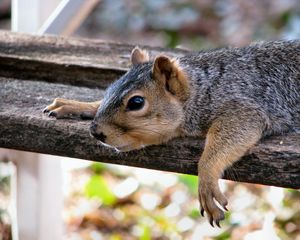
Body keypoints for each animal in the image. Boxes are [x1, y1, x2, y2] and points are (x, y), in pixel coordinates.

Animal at [44, 40, 300, 227]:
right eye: (107, 90)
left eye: (136, 102)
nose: (96, 132)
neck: (203, 88)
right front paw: (75, 105)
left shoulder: (246, 108)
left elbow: (232, 135)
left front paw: (206, 180)